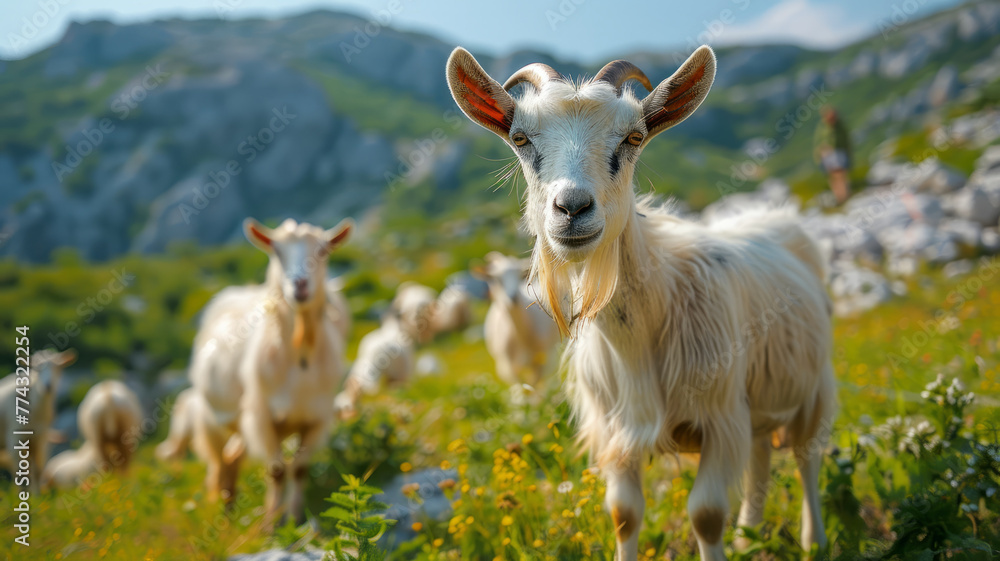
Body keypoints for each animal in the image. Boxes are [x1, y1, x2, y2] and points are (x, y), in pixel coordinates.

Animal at [0, 349, 75, 493]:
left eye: (57, 367)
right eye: (36, 369)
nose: (48, 386)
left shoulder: (41, 439)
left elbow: (37, 471)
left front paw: (38, 495)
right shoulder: (14, 438)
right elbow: (20, 471)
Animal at [473, 252, 560, 393]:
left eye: (520, 277)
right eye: (496, 280)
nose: (513, 297)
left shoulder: (543, 360)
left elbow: (533, 386)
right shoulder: (508, 367)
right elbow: (522, 387)